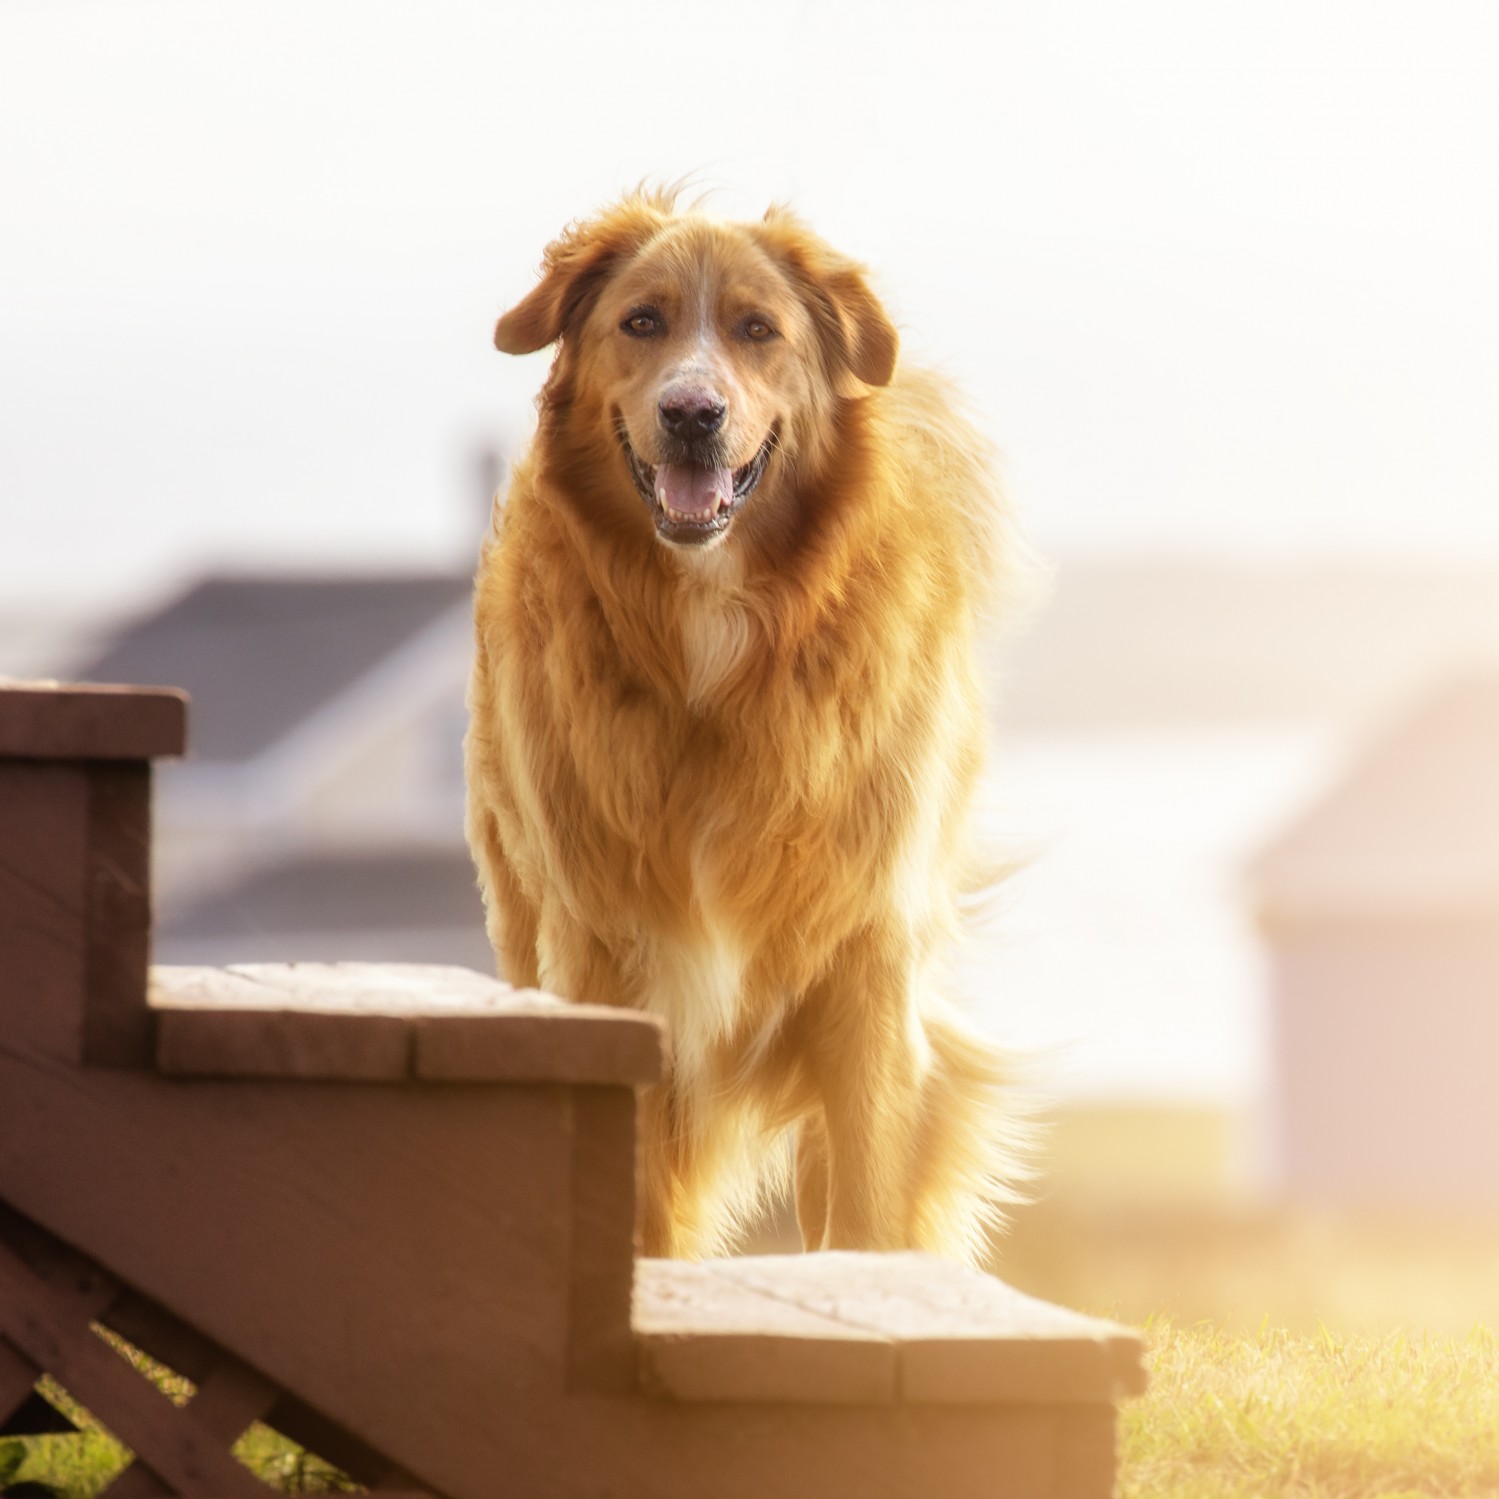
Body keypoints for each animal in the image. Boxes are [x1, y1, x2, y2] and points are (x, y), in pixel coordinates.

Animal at [464, 190, 1031, 1265]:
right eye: (641, 321)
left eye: (757, 329)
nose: (693, 414)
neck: (716, 627)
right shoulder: (602, 952)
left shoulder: (866, 959)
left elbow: (864, 1206)